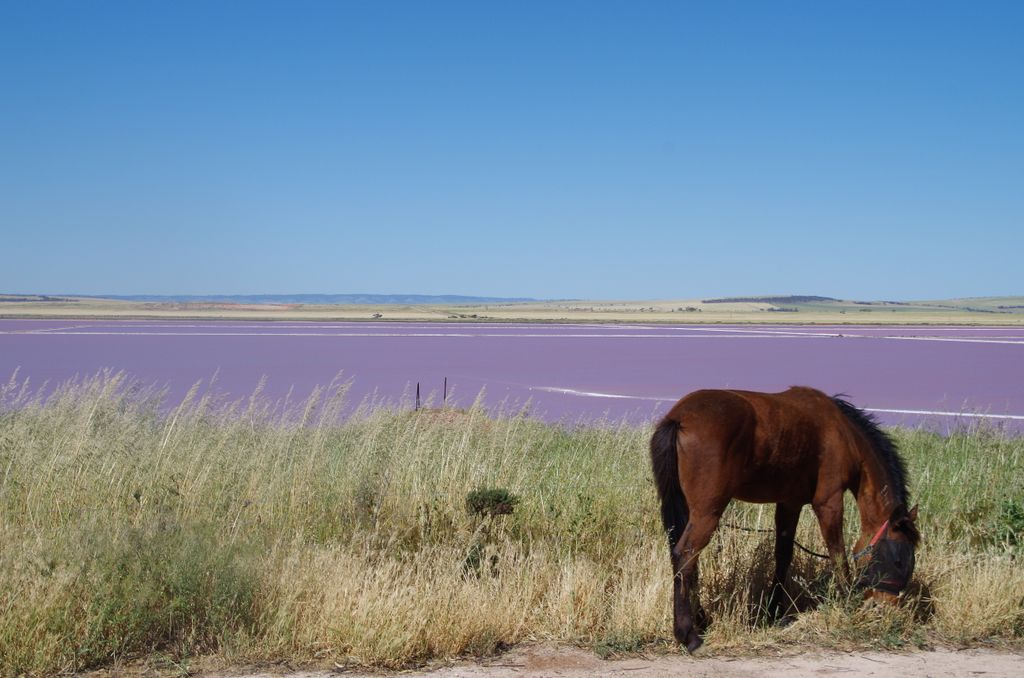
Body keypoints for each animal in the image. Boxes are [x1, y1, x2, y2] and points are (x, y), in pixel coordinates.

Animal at [651, 387, 925, 655]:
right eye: (899, 560)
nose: (887, 606)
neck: (843, 432)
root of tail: (679, 418)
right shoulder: (829, 503)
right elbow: (838, 555)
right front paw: (847, 601)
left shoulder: (789, 503)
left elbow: (783, 555)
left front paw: (773, 612)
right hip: (707, 512)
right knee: (686, 554)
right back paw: (689, 635)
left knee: (687, 559)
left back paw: (701, 620)